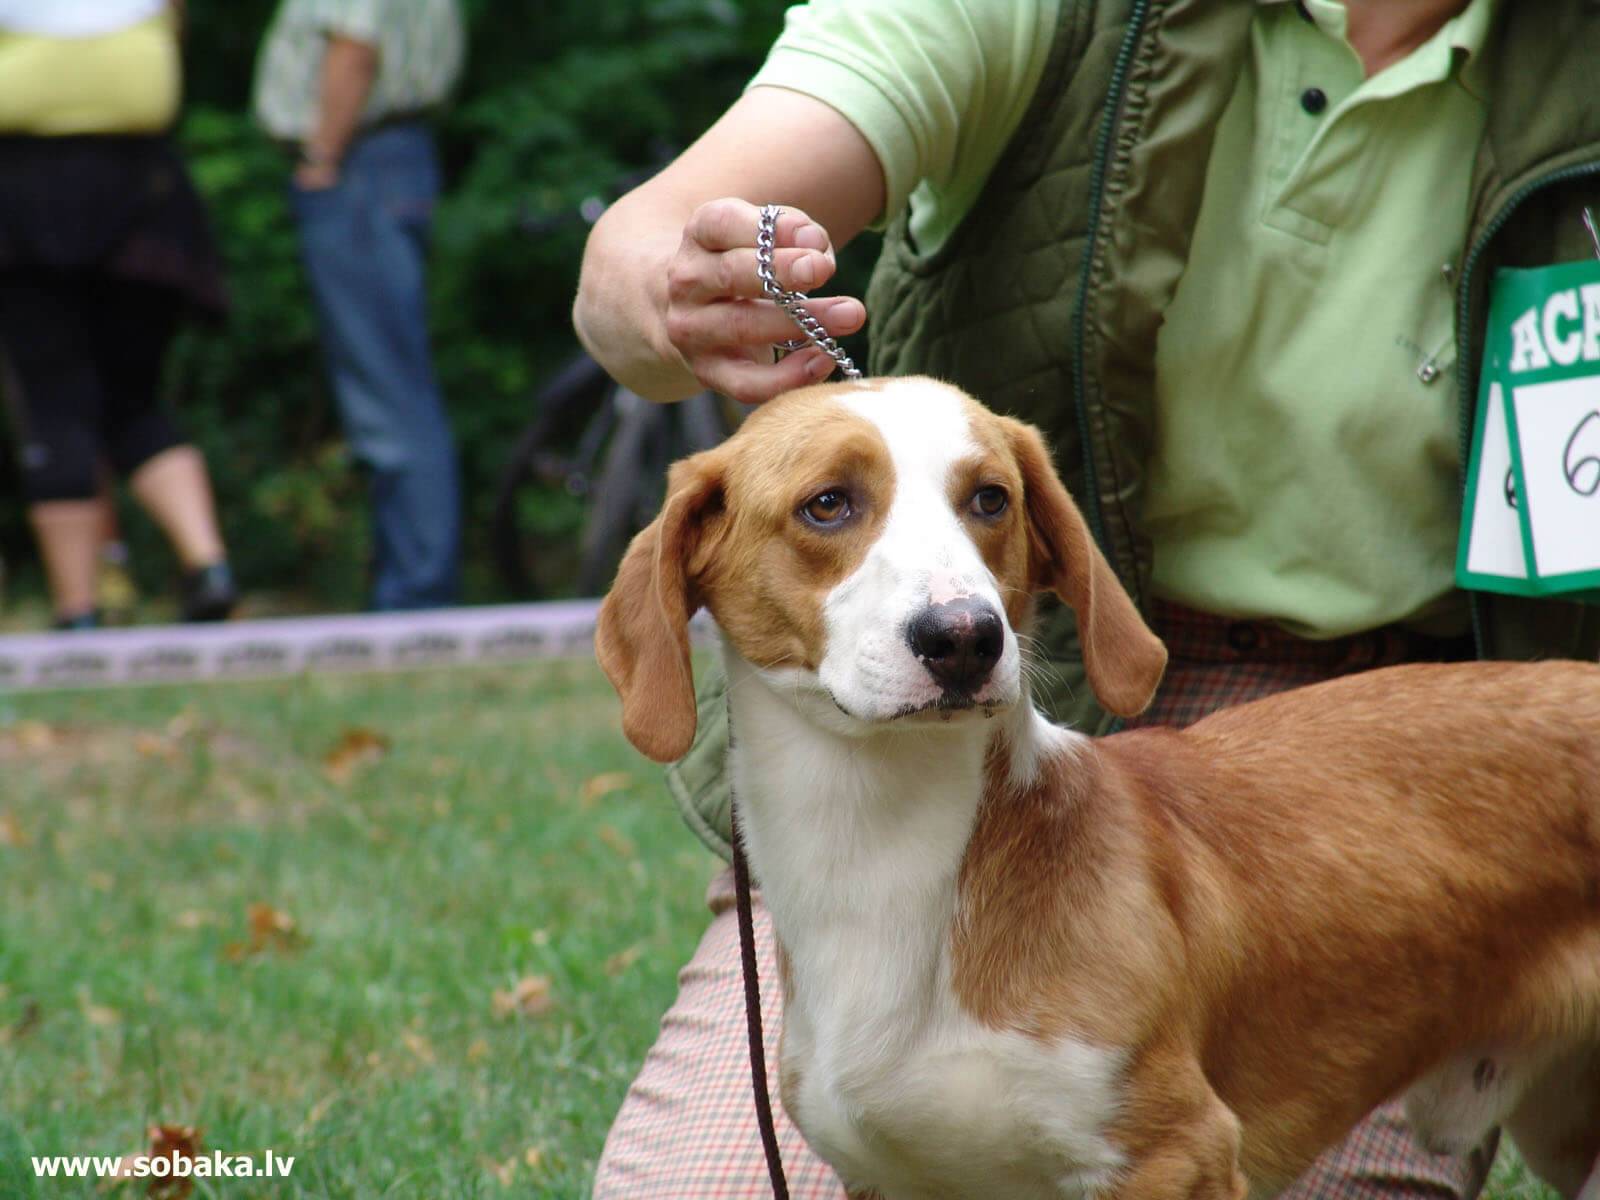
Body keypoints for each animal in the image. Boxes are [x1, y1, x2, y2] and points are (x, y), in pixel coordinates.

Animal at [595, 380, 1593, 1200]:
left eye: (990, 498)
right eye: (827, 504)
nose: (965, 637)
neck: (884, 860)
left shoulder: (1175, 1154)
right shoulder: (890, 1179)